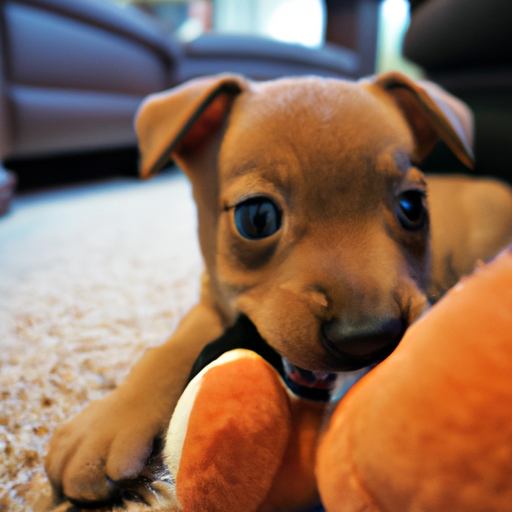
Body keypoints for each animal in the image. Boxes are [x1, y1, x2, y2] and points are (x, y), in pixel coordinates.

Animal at [45, 72, 512, 504]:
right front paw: (109, 420)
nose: (370, 338)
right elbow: (167, 351)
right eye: (257, 217)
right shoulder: (212, 300)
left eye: (413, 206)